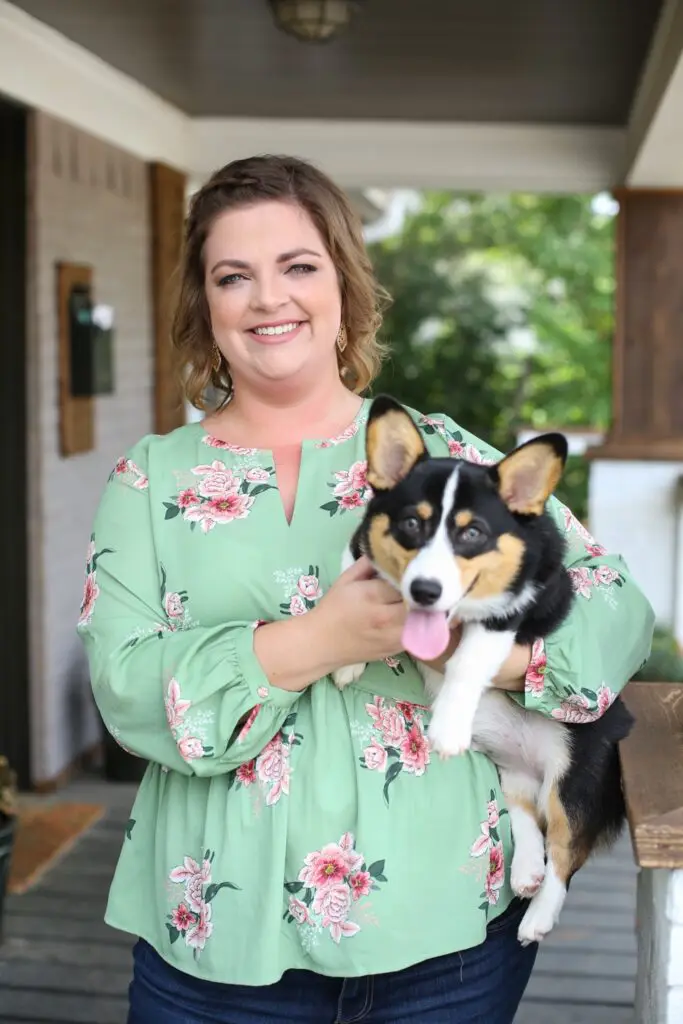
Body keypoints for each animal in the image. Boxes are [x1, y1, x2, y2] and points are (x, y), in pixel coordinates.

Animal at [333, 393, 634, 942]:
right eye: (411, 525)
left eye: (472, 533)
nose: (425, 590)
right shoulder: (362, 544)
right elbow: (350, 572)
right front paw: (347, 660)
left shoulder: (510, 614)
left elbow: (468, 662)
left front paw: (449, 726)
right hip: (508, 769)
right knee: (524, 812)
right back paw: (526, 869)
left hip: (574, 778)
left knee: (564, 851)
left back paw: (538, 914)